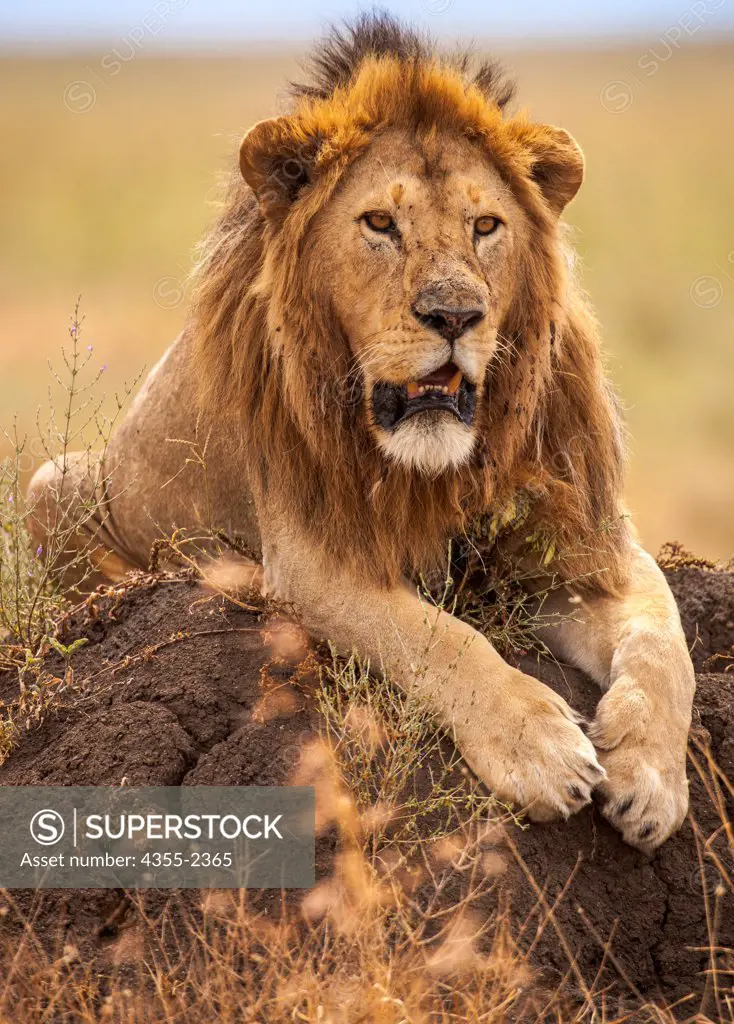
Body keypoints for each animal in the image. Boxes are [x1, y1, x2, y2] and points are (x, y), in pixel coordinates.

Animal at [27, 14, 692, 847]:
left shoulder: (580, 538)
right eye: (380, 223)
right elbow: (441, 638)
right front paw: (539, 748)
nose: (455, 315)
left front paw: (654, 779)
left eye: (486, 226)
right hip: (51, 483)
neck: (440, 465)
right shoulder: (312, 556)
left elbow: (665, 641)